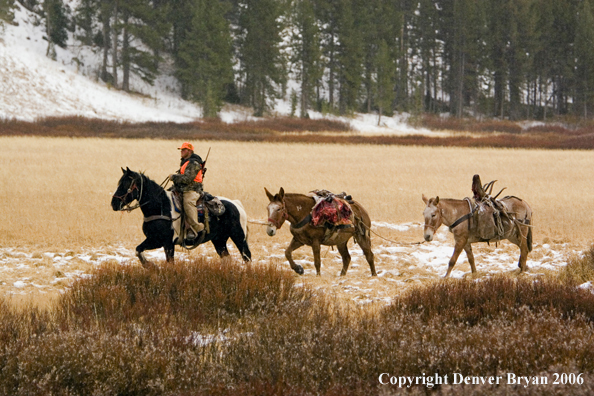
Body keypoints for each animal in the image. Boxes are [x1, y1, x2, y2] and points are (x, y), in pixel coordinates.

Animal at [111, 166, 250, 268]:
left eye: (126, 185)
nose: (114, 203)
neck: (161, 206)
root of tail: (236, 204)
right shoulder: (154, 240)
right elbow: (138, 249)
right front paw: (150, 266)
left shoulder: (167, 243)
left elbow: (170, 263)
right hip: (219, 240)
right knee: (227, 258)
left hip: (238, 236)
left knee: (247, 256)